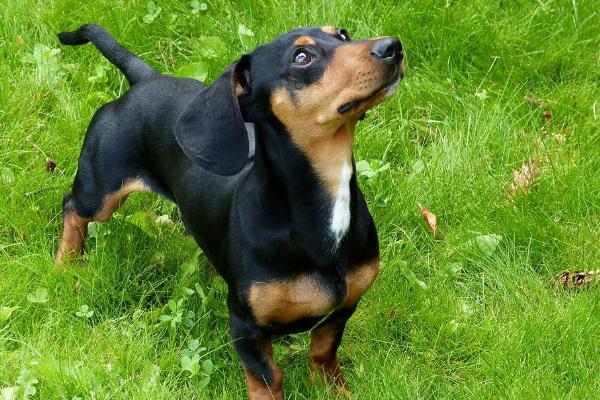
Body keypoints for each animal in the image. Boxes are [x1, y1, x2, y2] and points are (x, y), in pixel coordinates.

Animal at [57, 24, 404, 400]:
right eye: (302, 57)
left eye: (342, 34)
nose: (393, 47)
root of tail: (146, 79)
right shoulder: (245, 326)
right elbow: (267, 377)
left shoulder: (343, 309)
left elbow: (324, 354)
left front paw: (335, 390)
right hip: (101, 191)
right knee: (71, 207)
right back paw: (65, 262)